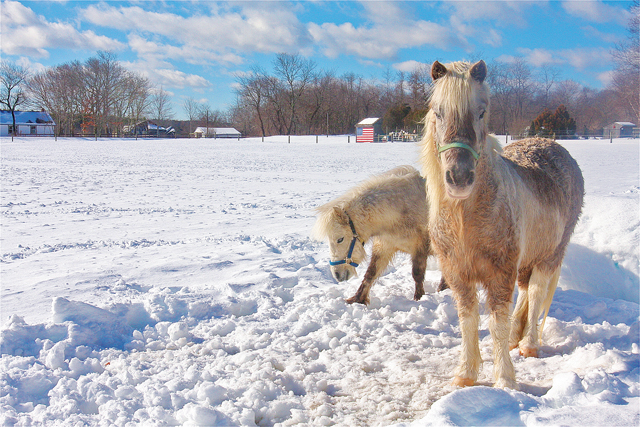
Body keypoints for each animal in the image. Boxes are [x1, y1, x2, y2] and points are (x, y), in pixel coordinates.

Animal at [312, 166, 446, 305]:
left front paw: (419, 298)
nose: (337, 275)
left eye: (340, 239)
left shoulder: (419, 247)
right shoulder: (384, 246)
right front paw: (357, 299)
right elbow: (371, 273)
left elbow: (417, 274)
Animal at [419, 60, 584, 389]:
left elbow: (497, 323)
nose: (459, 178)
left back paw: (528, 345)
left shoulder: (500, 274)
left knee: (536, 293)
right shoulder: (459, 275)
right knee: (526, 292)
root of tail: (552, 144)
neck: (465, 220)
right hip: (527, 261)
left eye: (482, 112)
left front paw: (505, 380)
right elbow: (468, 322)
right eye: (438, 112)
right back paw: (515, 339)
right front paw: (466, 374)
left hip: (550, 255)